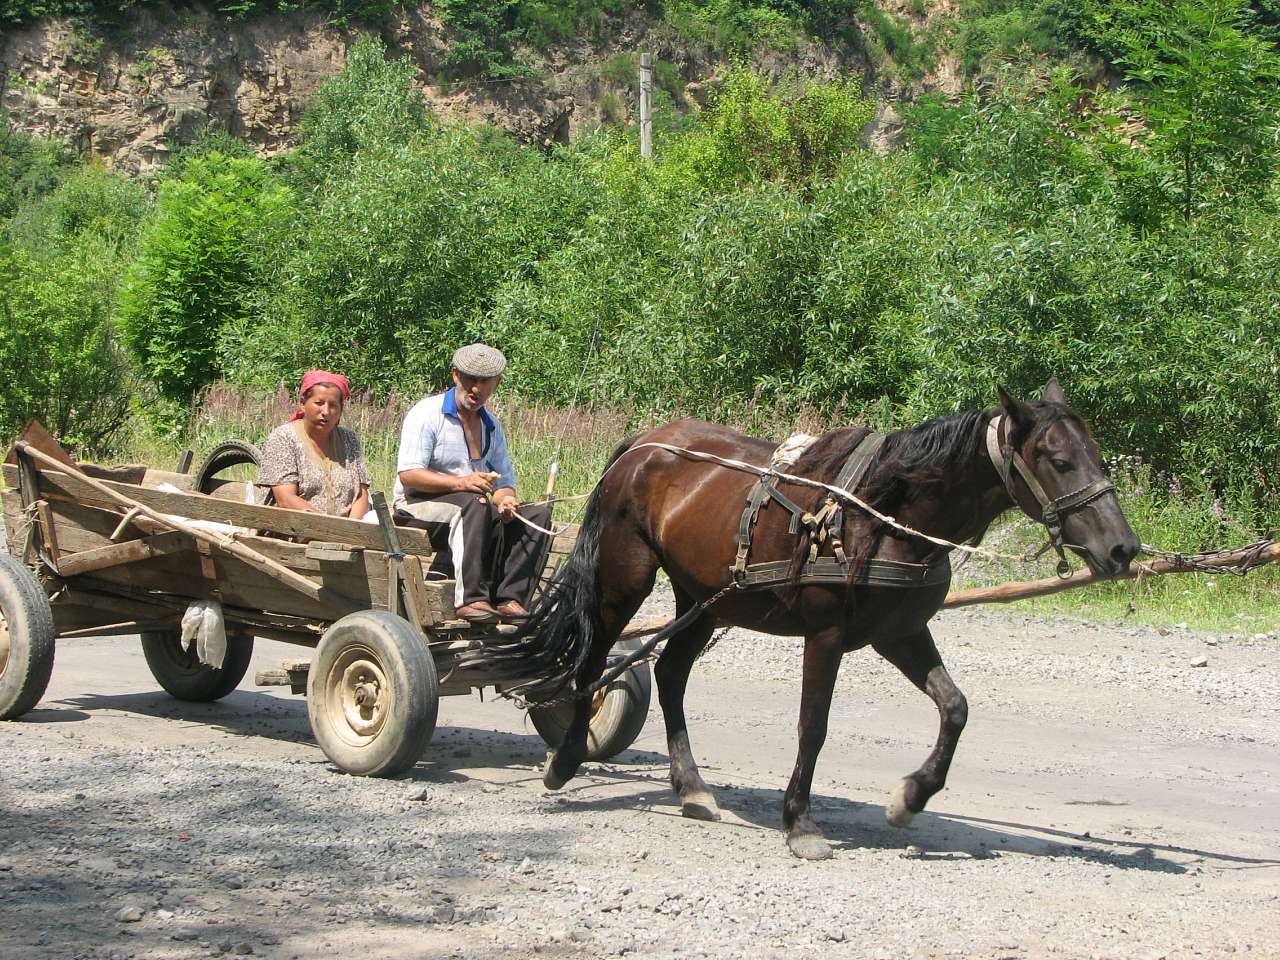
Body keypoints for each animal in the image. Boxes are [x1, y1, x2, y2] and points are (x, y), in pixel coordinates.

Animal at [483, 378, 1136, 860]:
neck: (885, 513)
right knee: (592, 659)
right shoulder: (826, 636)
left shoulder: (900, 632)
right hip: (626, 579)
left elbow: (955, 708)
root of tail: (644, 443)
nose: (1123, 548)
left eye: (1098, 456)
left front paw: (911, 797)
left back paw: (692, 788)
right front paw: (801, 822)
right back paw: (567, 760)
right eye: (1058, 460)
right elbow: (813, 727)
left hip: (706, 596)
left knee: (669, 674)